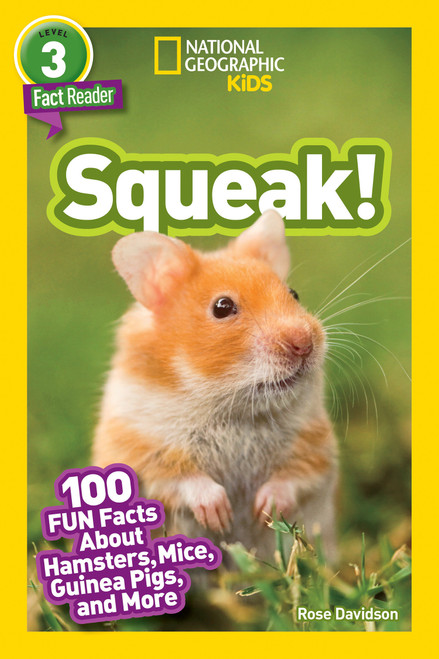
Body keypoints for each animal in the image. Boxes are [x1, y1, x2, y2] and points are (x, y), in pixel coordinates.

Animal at [92, 210, 338, 562]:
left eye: (294, 294)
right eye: (222, 307)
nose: (304, 343)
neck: (231, 407)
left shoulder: (314, 447)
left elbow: (293, 477)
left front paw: (261, 511)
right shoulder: (139, 449)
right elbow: (183, 479)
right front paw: (221, 517)